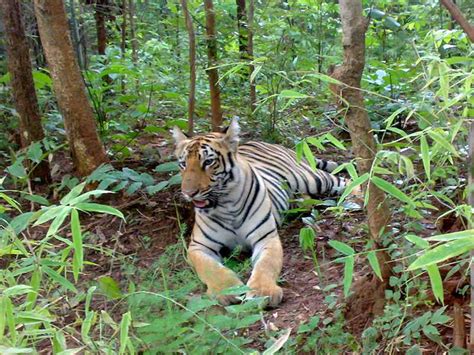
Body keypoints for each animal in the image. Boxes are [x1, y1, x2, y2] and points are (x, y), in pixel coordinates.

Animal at [173, 119, 348, 308]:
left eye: (208, 162)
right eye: (183, 164)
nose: (189, 193)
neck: (226, 205)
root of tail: (265, 142)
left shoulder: (266, 238)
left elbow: (266, 264)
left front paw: (262, 292)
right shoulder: (198, 246)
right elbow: (210, 268)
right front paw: (227, 290)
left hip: (310, 178)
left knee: (346, 180)